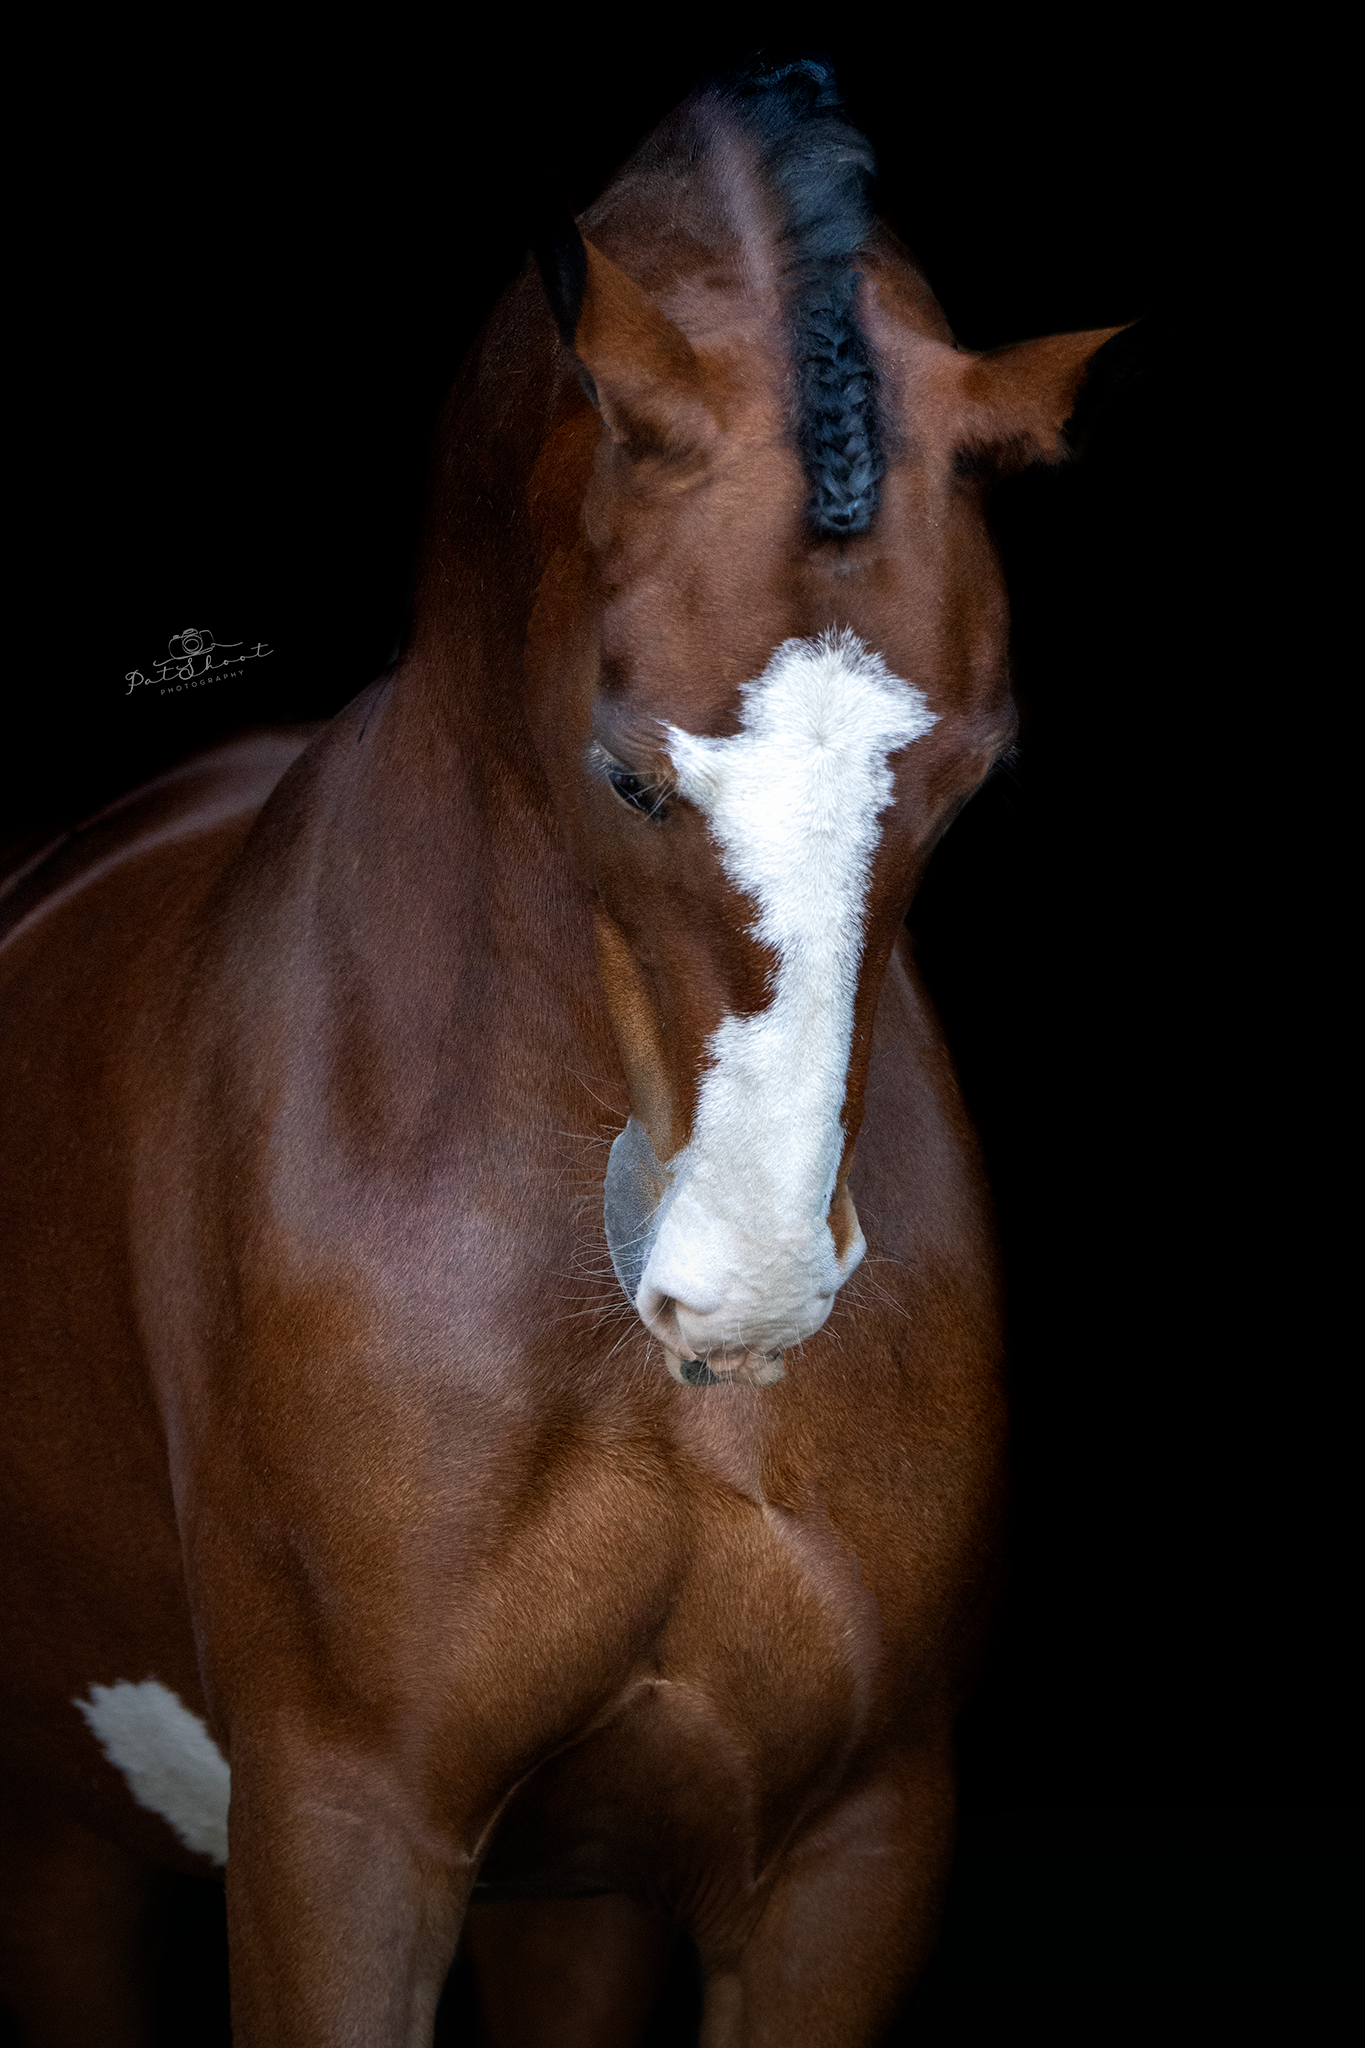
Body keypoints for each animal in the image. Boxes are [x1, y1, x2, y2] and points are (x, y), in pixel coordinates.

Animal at [0, 60, 1134, 2047]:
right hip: (67, 1850)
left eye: (978, 772)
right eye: (624, 765)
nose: (744, 1291)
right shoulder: (344, 1836)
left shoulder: (851, 1850)